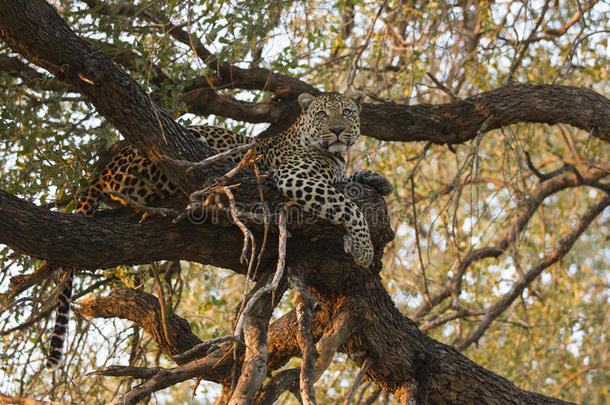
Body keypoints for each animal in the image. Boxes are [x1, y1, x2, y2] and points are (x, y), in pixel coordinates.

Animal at [46, 91, 390, 370]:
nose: (337, 130)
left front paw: (377, 179)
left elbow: (351, 182)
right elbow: (347, 205)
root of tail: (103, 170)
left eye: (346, 112)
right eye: (322, 115)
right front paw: (363, 247)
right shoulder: (296, 178)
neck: (333, 155)